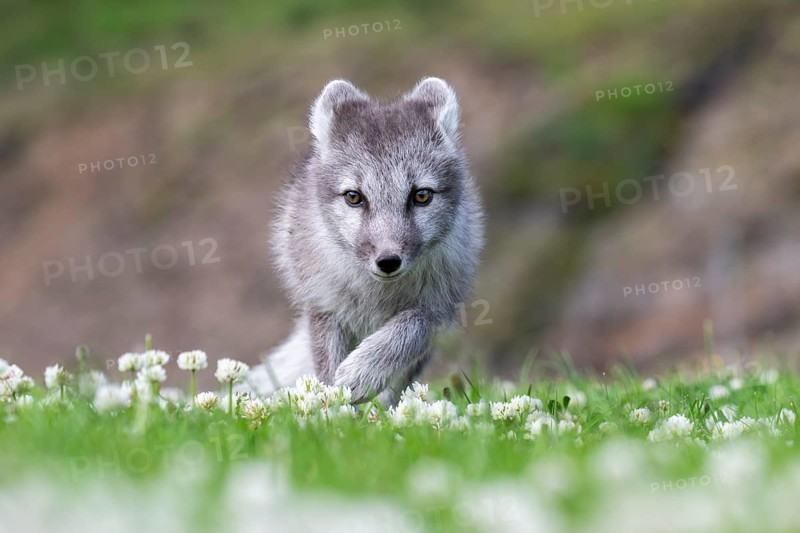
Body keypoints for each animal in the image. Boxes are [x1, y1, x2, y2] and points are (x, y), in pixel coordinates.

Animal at [249, 77, 484, 404]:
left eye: (421, 195)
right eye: (354, 197)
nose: (388, 260)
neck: (378, 296)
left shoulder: (441, 309)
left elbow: (409, 329)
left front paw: (362, 373)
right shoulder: (324, 306)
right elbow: (327, 369)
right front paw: (335, 409)